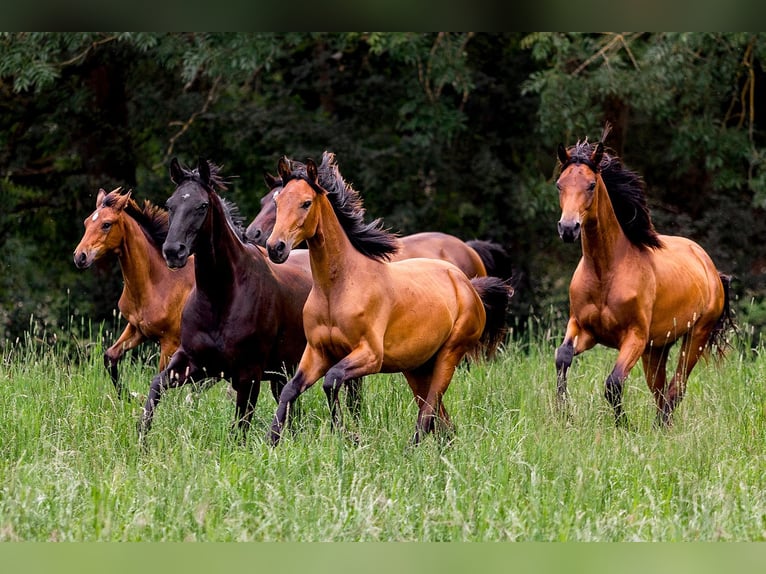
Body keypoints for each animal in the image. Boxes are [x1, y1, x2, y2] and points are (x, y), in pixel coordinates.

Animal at [73, 187, 195, 398]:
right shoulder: (136, 328)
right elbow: (110, 356)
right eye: (87, 222)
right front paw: (128, 396)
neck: (157, 283)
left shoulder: (169, 343)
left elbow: (163, 379)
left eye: (106, 224)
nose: (80, 256)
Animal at [140, 156, 320, 440]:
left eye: (202, 206)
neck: (221, 298)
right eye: (170, 204)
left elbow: (240, 430)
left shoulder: (249, 377)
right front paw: (142, 439)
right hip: (282, 372)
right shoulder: (195, 363)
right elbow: (156, 386)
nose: (173, 252)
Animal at [268, 155, 512, 448]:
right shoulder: (317, 353)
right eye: (277, 202)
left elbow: (331, 381)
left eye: (306, 202)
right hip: (417, 367)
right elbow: (290, 389)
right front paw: (271, 440)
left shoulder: (370, 355)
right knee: (441, 419)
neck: (336, 289)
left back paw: (411, 449)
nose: (275, 248)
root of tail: (468, 285)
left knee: (428, 411)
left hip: (449, 355)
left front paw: (349, 435)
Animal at [556, 125, 736, 428]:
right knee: (660, 390)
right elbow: (563, 358)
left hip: (695, 337)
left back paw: (659, 427)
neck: (606, 272)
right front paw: (564, 414)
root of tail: (710, 267)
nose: (568, 228)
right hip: (657, 348)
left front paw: (624, 426)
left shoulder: (635, 337)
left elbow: (614, 382)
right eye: (559, 184)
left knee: (676, 388)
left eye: (591, 185)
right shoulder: (583, 327)